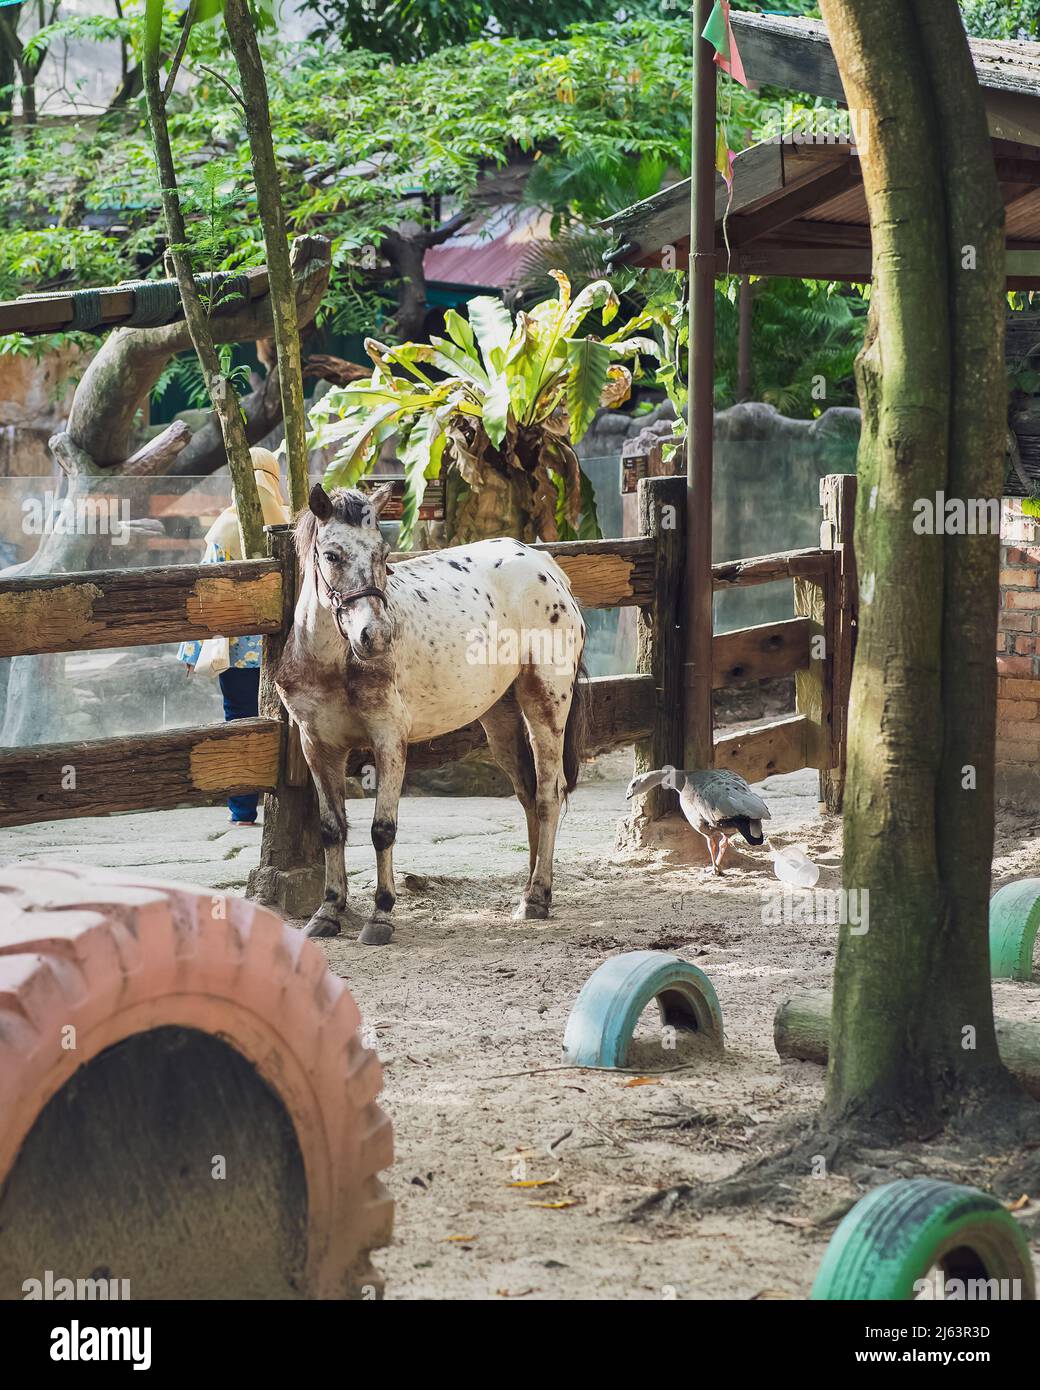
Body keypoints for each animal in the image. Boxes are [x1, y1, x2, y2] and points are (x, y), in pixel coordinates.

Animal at [275, 483, 587, 945]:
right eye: (331, 555)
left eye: (383, 553)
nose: (375, 636)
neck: (334, 663)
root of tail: (545, 565)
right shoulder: (317, 745)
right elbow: (332, 829)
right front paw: (328, 912)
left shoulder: (389, 740)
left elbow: (382, 829)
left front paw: (381, 916)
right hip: (500, 720)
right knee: (529, 796)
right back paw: (530, 891)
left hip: (545, 703)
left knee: (549, 794)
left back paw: (537, 897)